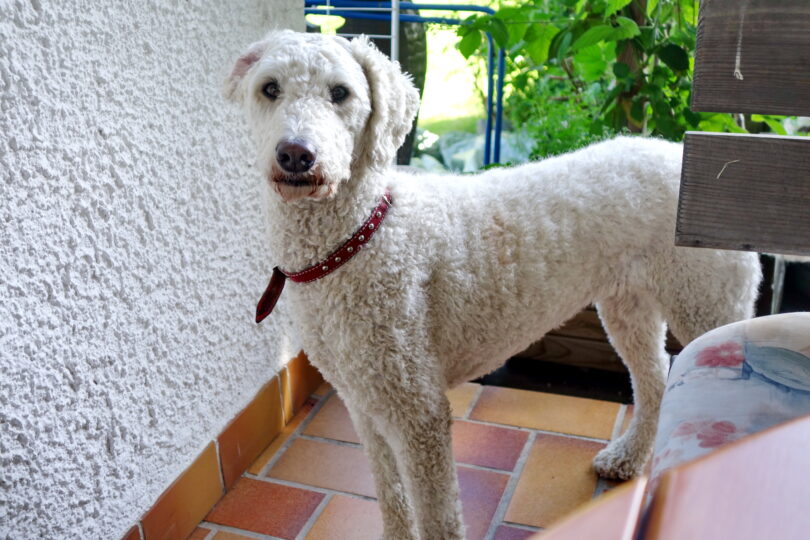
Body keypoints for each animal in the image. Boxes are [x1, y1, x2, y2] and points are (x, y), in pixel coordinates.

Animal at [223, 30, 761, 540]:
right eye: (269, 89)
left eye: (341, 93)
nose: (296, 154)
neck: (359, 235)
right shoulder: (363, 402)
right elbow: (391, 499)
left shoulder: (419, 413)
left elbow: (438, 517)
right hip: (627, 307)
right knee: (654, 378)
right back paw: (627, 457)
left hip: (709, 308)